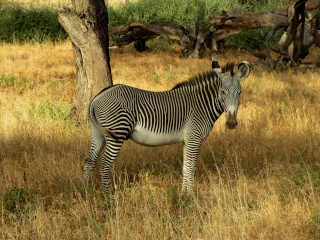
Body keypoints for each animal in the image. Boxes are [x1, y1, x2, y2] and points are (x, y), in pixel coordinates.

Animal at [84, 59, 251, 196]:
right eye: (223, 92)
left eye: (240, 92)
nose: (232, 123)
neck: (201, 104)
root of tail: (97, 98)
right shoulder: (194, 138)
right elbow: (190, 167)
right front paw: (188, 196)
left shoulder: (187, 141)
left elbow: (185, 167)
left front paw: (184, 194)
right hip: (117, 133)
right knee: (105, 164)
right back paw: (108, 197)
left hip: (98, 133)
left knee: (89, 160)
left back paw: (85, 191)